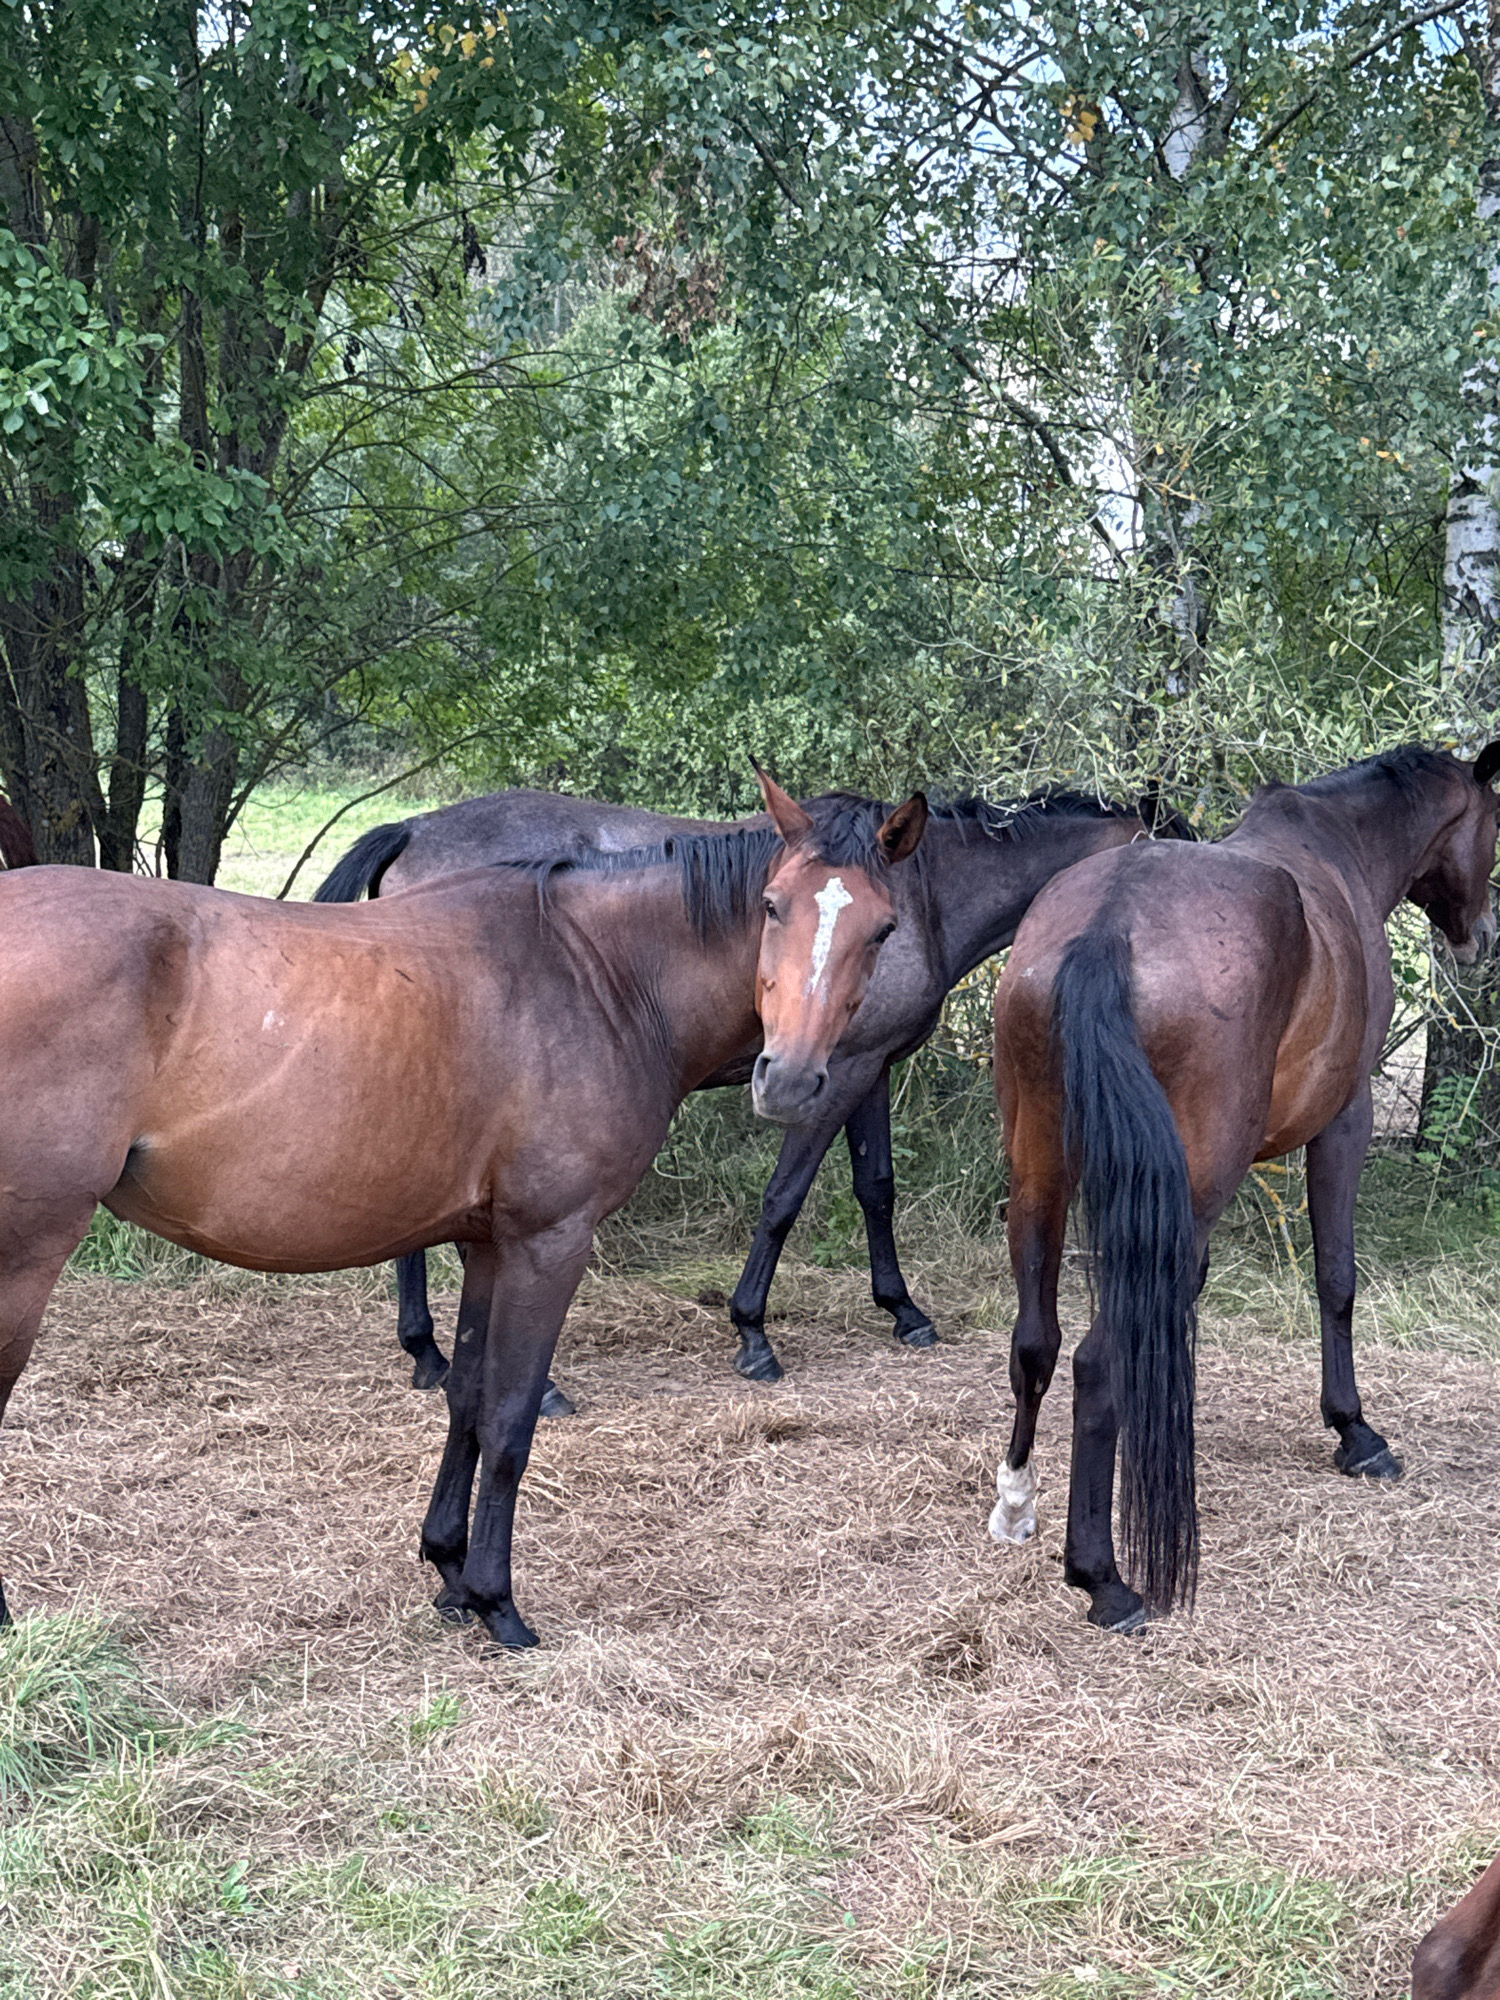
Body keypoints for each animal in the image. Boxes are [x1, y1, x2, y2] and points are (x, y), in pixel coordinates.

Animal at [0, 772, 927, 1646]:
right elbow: (512, 1418)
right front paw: (496, 1600)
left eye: (883, 929)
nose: (792, 1079)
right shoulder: (550, 1244)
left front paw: (448, 1569)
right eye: (772, 906)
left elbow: (468, 1400)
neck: (597, 974)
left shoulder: (489, 1244)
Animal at [316, 784, 1192, 1397]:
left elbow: (876, 1186)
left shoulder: (869, 1066)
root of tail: (416, 828)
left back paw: (427, 1351)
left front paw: (902, 1309)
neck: (925, 896)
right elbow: (784, 1198)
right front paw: (752, 1332)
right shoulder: (835, 1073)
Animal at [988, 744, 1500, 1632]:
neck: (1338, 848)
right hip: (1186, 1191)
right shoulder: (1346, 1120)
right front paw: (1354, 1431)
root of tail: (1106, 930)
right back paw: (1104, 1578)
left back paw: (1019, 1503)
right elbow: (1336, 1279)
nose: (1485, 935)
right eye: (1496, 829)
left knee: (1037, 1343)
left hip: (1041, 1174)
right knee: (1095, 1359)